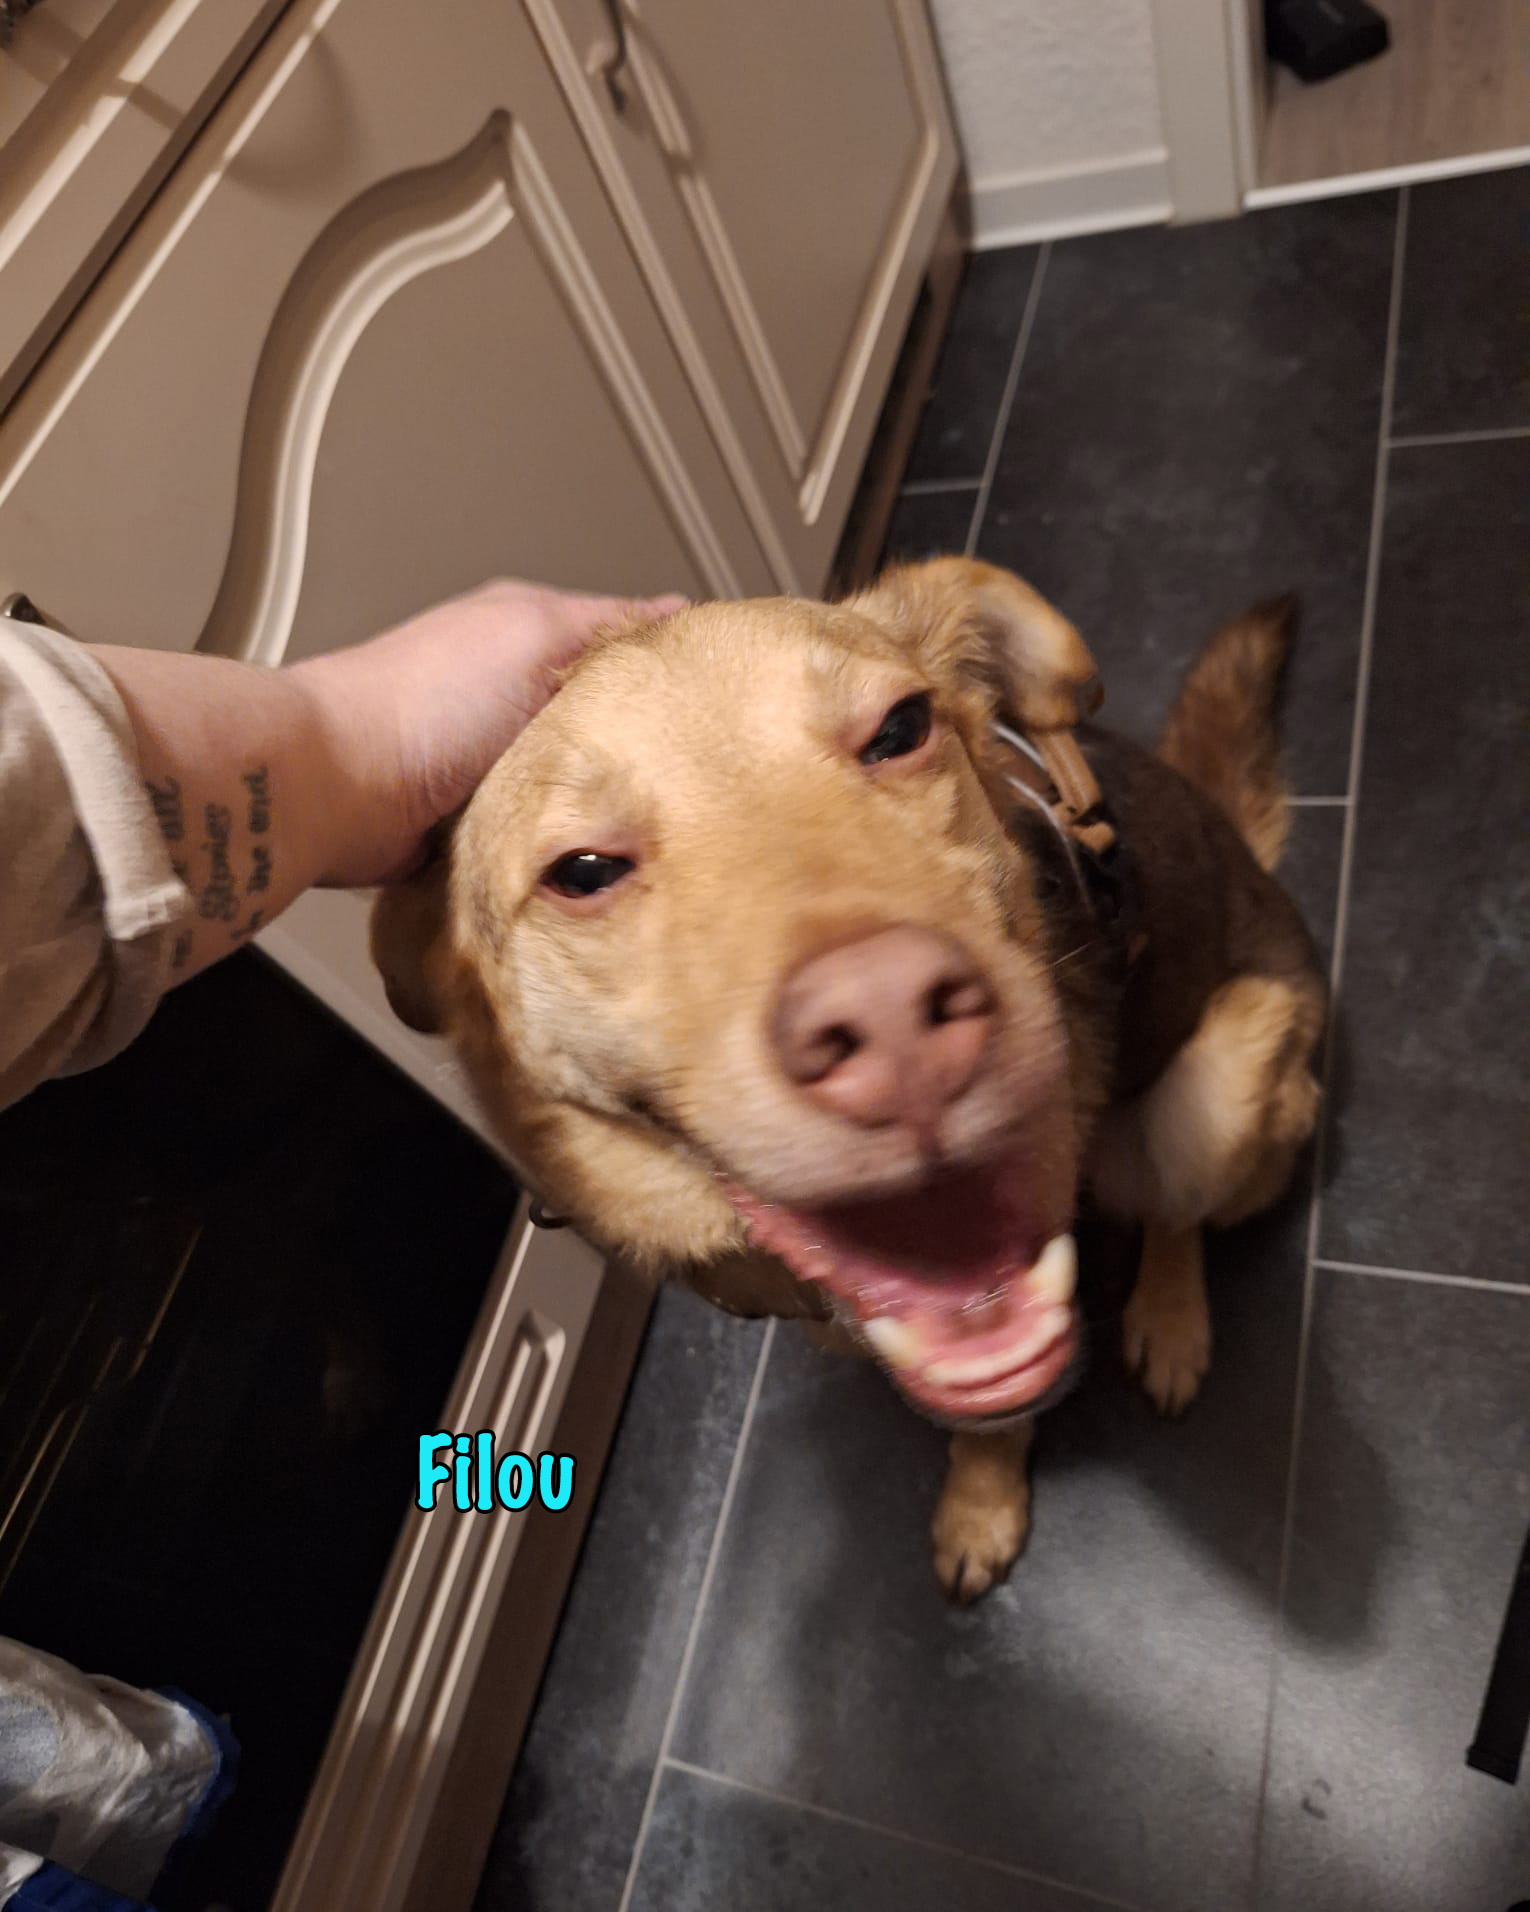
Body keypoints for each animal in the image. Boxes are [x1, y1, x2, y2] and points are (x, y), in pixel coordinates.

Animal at [371, 559, 1325, 1602]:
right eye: (581, 872)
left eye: (900, 730)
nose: (892, 1019)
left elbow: (999, 1408)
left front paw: (982, 1502)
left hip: (1234, 1073)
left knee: (1179, 1208)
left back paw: (1170, 1318)